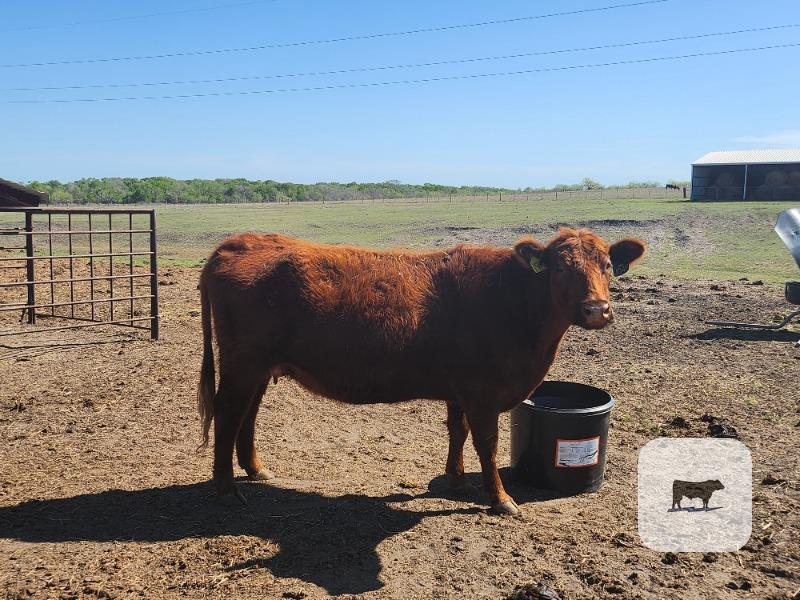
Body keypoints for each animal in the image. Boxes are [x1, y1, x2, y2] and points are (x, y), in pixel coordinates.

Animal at [197, 228, 647, 515]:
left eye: (607, 265)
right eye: (560, 268)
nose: (597, 310)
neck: (511, 301)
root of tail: (238, 241)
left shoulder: (460, 389)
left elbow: (457, 432)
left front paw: (458, 481)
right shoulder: (483, 393)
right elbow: (487, 444)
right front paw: (501, 499)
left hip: (259, 368)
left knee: (247, 415)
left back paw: (256, 469)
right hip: (242, 364)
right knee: (228, 413)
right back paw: (226, 490)